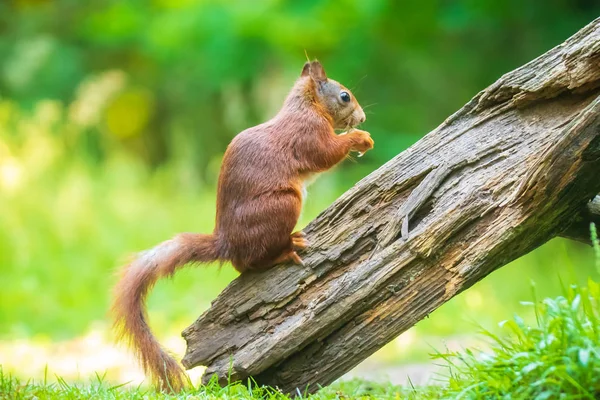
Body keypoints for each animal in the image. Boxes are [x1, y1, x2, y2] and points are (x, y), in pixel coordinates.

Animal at [112, 60, 372, 390]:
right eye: (344, 96)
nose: (362, 117)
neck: (305, 107)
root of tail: (227, 242)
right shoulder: (307, 134)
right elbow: (326, 153)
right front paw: (361, 139)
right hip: (283, 205)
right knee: (248, 262)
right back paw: (287, 249)